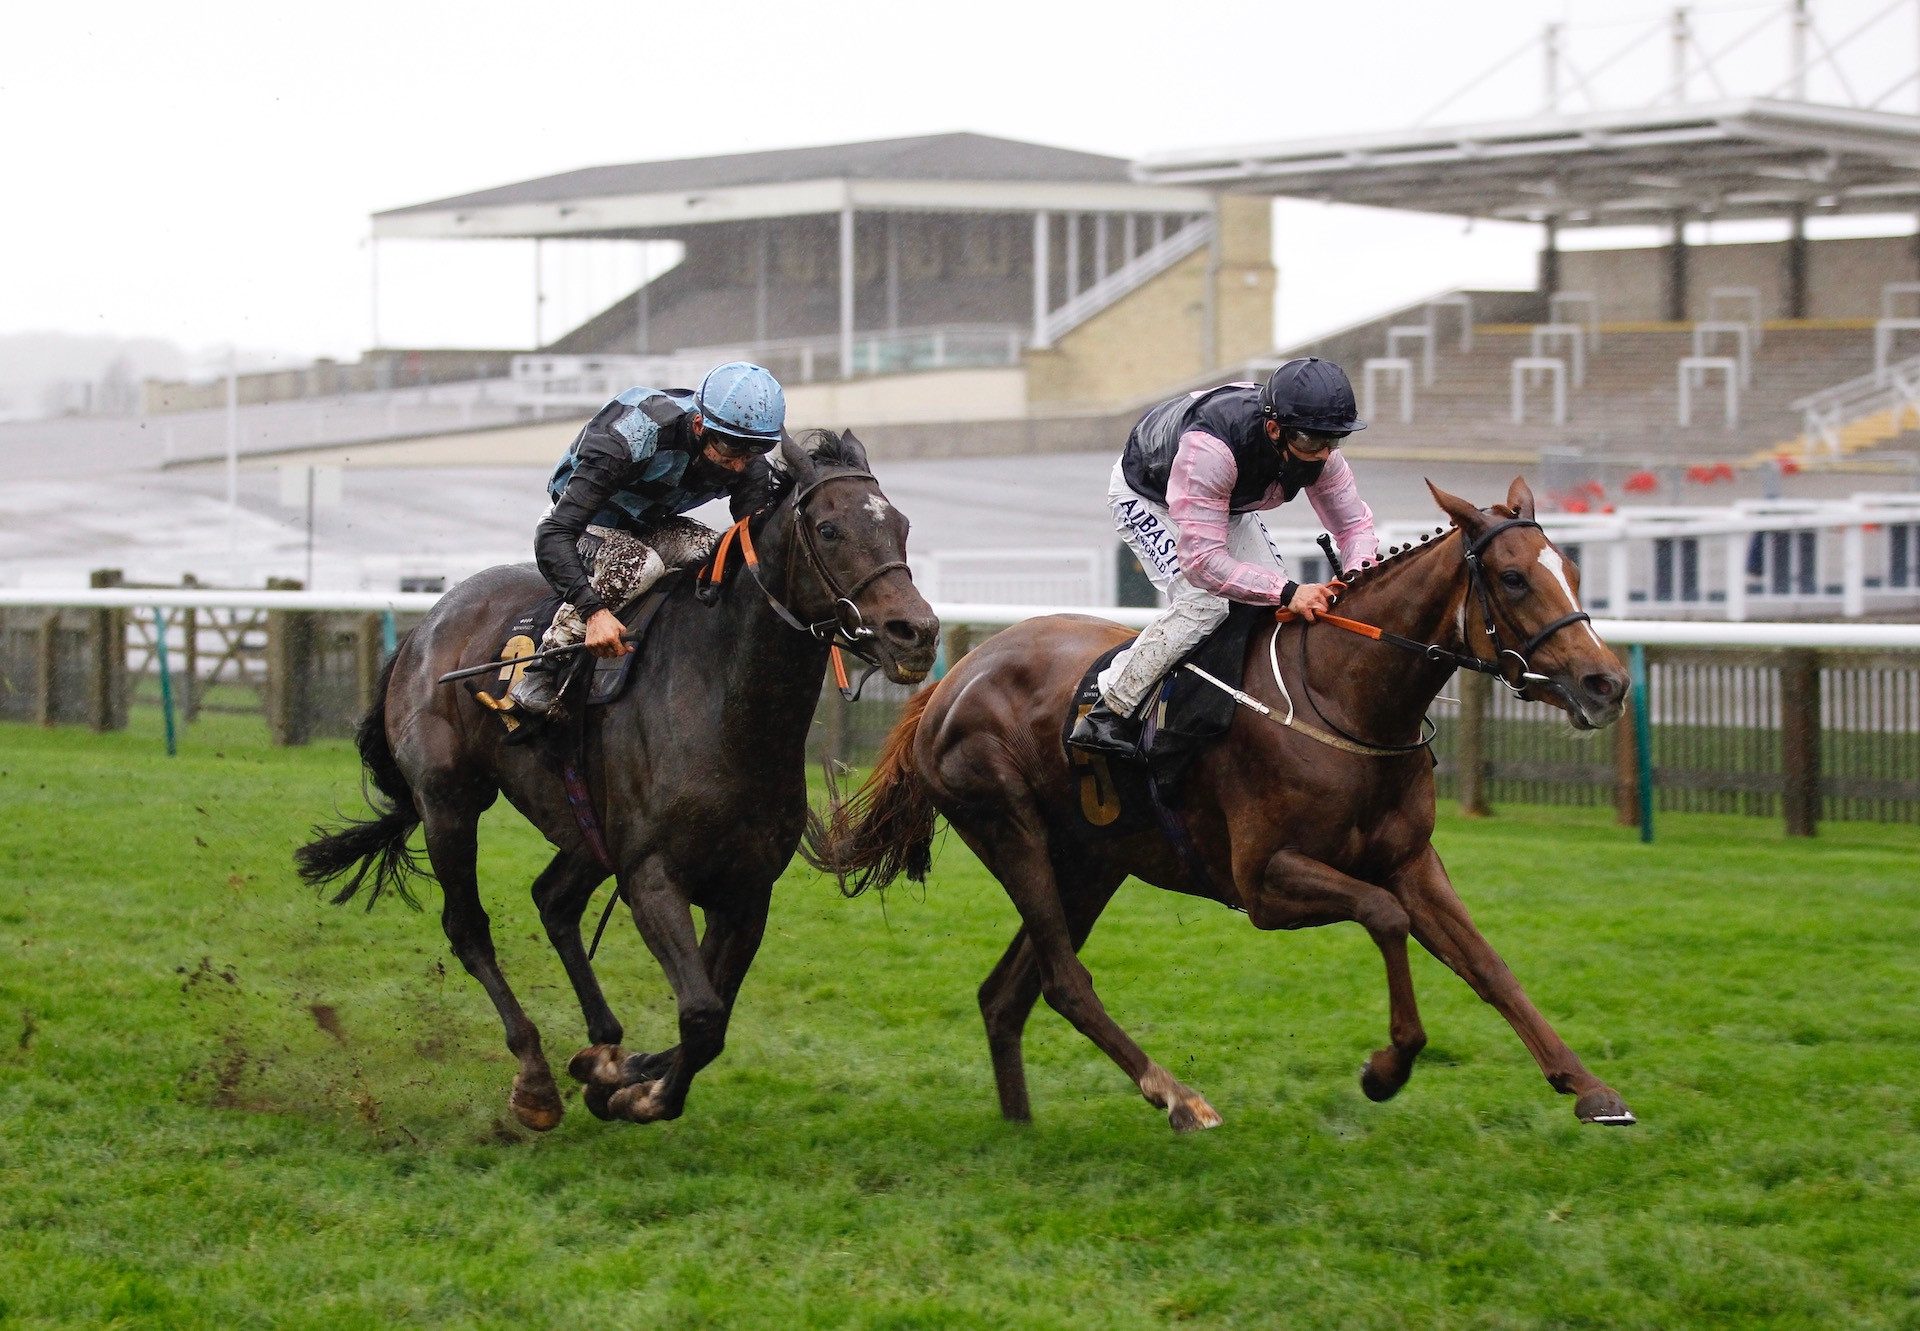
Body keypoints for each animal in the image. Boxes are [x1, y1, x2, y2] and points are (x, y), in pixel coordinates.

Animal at [289, 434, 936, 1129]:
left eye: (902, 526)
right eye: (829, 528)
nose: (917, 634)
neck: (723, 705)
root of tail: (424, 627)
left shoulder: (745, 889)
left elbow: (712, 1020)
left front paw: (624, 1076)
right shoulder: (651, 877)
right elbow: (701, 1014)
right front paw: (632, 1087)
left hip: (585, 829)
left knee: (553, 901)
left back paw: (602, 1042)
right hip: (449, 802)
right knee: (468, 927)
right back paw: (536, 1078)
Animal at [810, 480, 1635, 1129]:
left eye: (1572, 568)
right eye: (1513, 577)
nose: (1607, 682)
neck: (1344, 699)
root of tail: (948, 683)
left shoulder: (1411, 860)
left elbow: (1489, 965)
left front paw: (1590, 1088)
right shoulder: (1265, 881)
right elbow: (1384, 915)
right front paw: (1386, 1067)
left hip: (1091, 861)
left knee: (1005, 993)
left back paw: (1020, 1126)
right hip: (1011, 830)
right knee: (1062, 980)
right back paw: (1177, 1098)